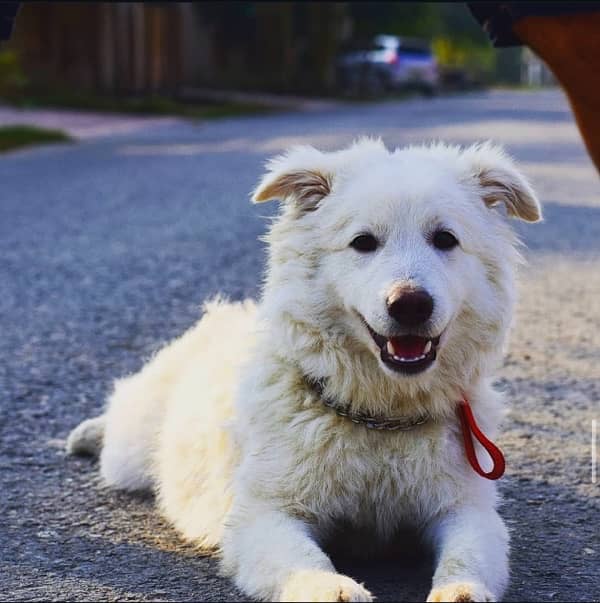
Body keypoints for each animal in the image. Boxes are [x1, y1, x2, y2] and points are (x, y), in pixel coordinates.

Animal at [68, 139, 540, 600]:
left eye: (445, 239)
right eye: (363, 242)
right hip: (131, 453)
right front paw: (329, 588)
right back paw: (87, 433)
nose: (410, 304)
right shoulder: (264, 514)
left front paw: (460, 590)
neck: (380, 415)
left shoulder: (465, 509)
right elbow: (302, 559)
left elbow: (467, 557)